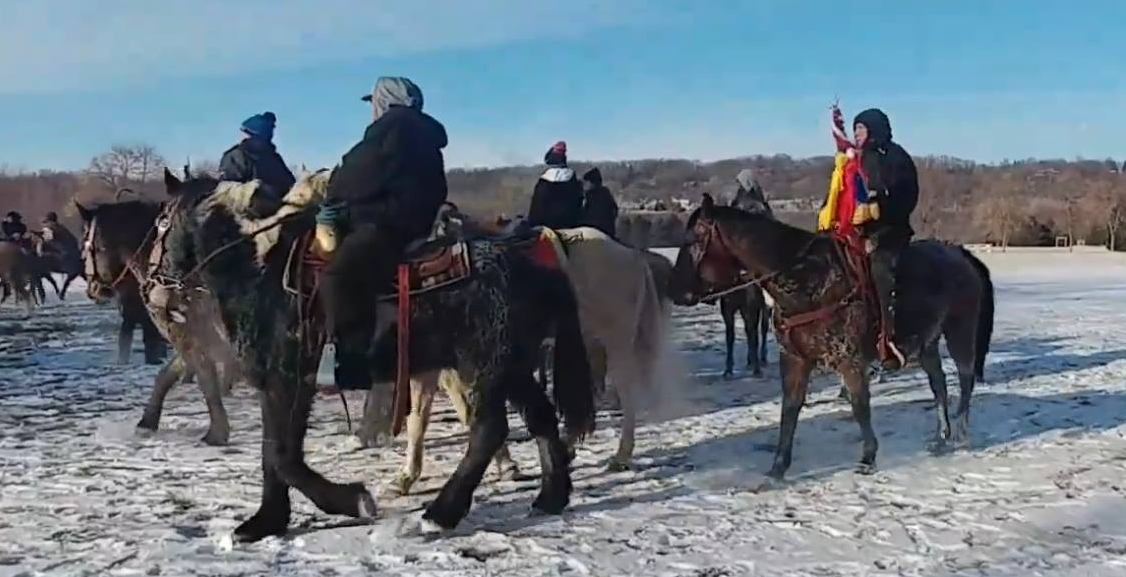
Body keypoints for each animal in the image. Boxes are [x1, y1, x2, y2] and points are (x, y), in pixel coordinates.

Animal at [158, 171, 599, 540]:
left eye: (162, 223)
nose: (161, 289)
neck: (261, 267)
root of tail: (536, 264)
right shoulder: (274, 383)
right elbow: (273, 454)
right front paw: (265, 522)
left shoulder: (290, 380)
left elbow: (283, 457)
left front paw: (353, 500)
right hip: (512, 367)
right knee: (540, 418)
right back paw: (550, 497)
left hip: (484, 365)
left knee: (489, 430)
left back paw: (439, 514)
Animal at [666, 196, 995, 480]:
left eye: (692, 240)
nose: (674, 291)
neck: (808, 280)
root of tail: (960, 253)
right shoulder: (795, 359)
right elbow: (790, 409)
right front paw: (778, 467)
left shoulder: (849, 359)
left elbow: (859, 406)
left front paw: (868, 457)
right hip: (926, 342)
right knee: (938, 384)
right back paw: (941, 436)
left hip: (959, 331)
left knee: (965, 377)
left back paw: (961, 431)